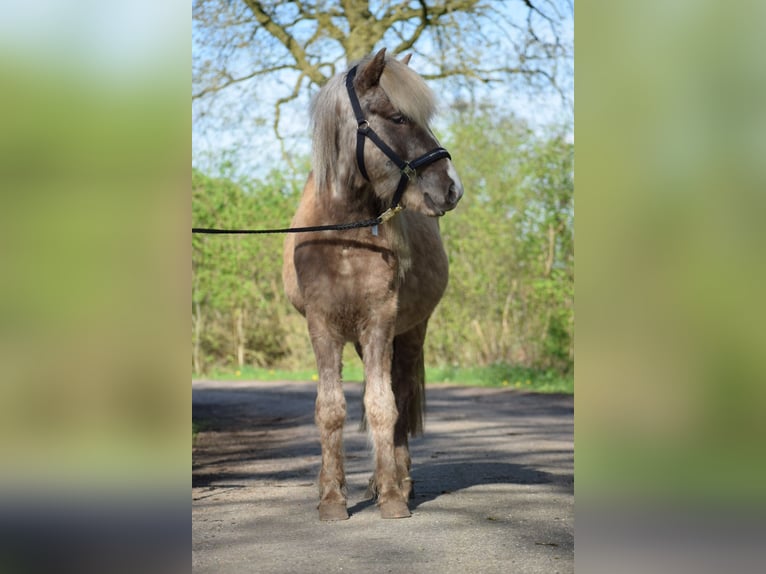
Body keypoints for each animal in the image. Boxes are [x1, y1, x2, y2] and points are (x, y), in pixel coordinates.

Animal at [282, 49, 462, 520]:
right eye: (398, 118)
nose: (451, 188)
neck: (343, 233)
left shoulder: (381, 322)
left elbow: (383, 405)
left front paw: (393, 497)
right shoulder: (322, 326)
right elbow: (330, 409)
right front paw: (331, 498)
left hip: (410, 333)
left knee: (399, 394)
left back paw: (397, 480)